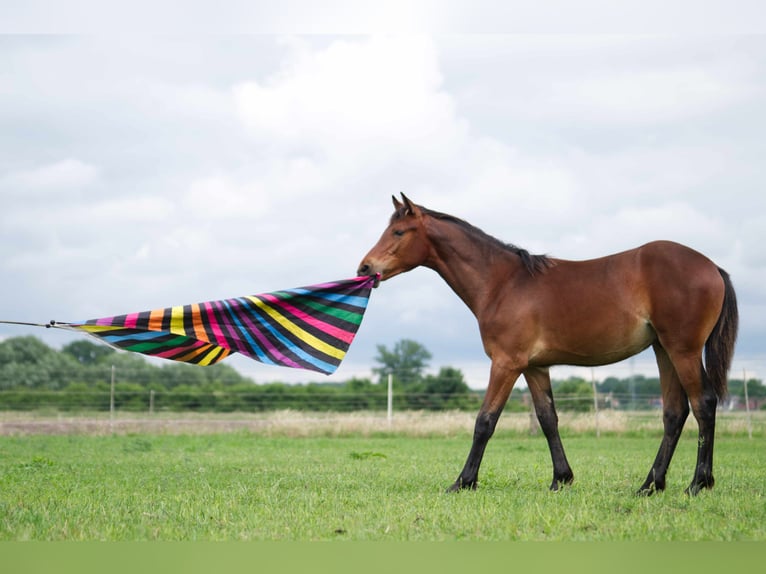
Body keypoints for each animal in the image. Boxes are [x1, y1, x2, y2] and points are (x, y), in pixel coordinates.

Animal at [356, 196, 740, 498]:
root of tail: (712, 266)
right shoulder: (534, 367)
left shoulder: (506, 363)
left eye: (399, 232)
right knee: (674, 413)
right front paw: (561, 479)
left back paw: (698, 483)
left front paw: (463, 482)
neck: (503, 283)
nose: (365, 266)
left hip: (683, 350)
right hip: (663, 351)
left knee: (703, 404)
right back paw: (650, 485)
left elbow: (485, 421)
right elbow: (547, 419)